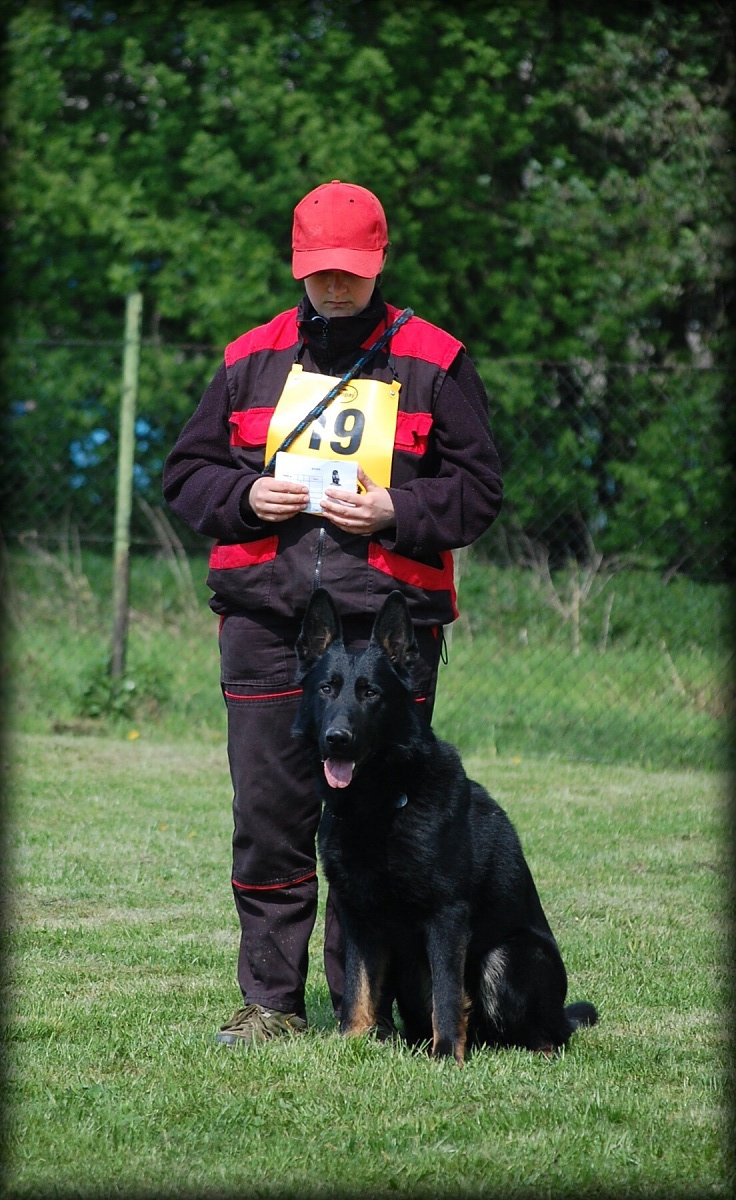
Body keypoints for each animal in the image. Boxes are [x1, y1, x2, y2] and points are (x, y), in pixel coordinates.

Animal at [292, 585, 597, 1065]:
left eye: (370, 693)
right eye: (327, 689)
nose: (337, 739)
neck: (380, 803)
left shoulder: (446, 916)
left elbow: (449, 995)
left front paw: (447, 1055)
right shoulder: (360, 916)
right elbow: (359, 986)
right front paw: (352, 1040)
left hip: (508, 957)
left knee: (547, 1034)